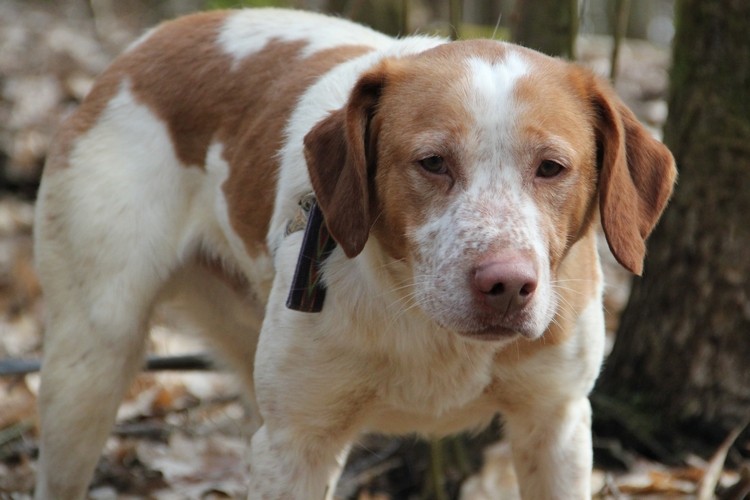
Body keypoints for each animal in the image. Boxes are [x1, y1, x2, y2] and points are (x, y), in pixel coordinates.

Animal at [32, 7, 680, 500]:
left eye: (551, 167)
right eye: (432, 162)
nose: (506, 284)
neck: (426, 324)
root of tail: (145, 45)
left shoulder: (555, 425)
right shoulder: (296, 443)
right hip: (88, 370)